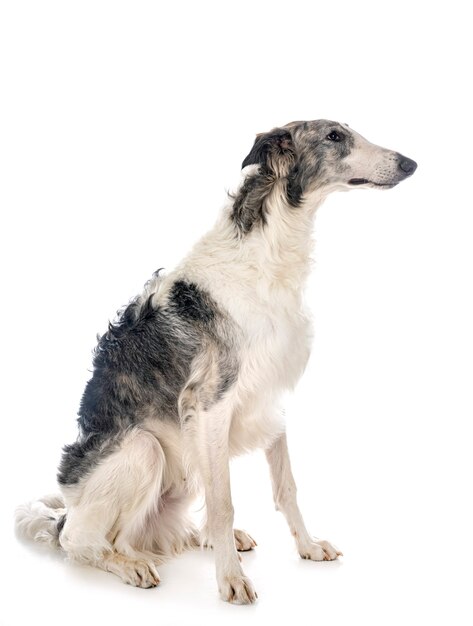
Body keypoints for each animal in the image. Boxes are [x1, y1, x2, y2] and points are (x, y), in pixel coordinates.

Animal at [14, 119, 414, 604]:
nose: (410, 163)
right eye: (334, 136)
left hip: (184, 462)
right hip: (144, 449)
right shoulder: (209, 403)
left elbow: (286, 487)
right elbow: (225, 502)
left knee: (150, 534)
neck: (267, 249)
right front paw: (231, 581)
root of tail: (63, 516)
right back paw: (130, 564)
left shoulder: (267, 398)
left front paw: (308, 546)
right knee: (89, 543)